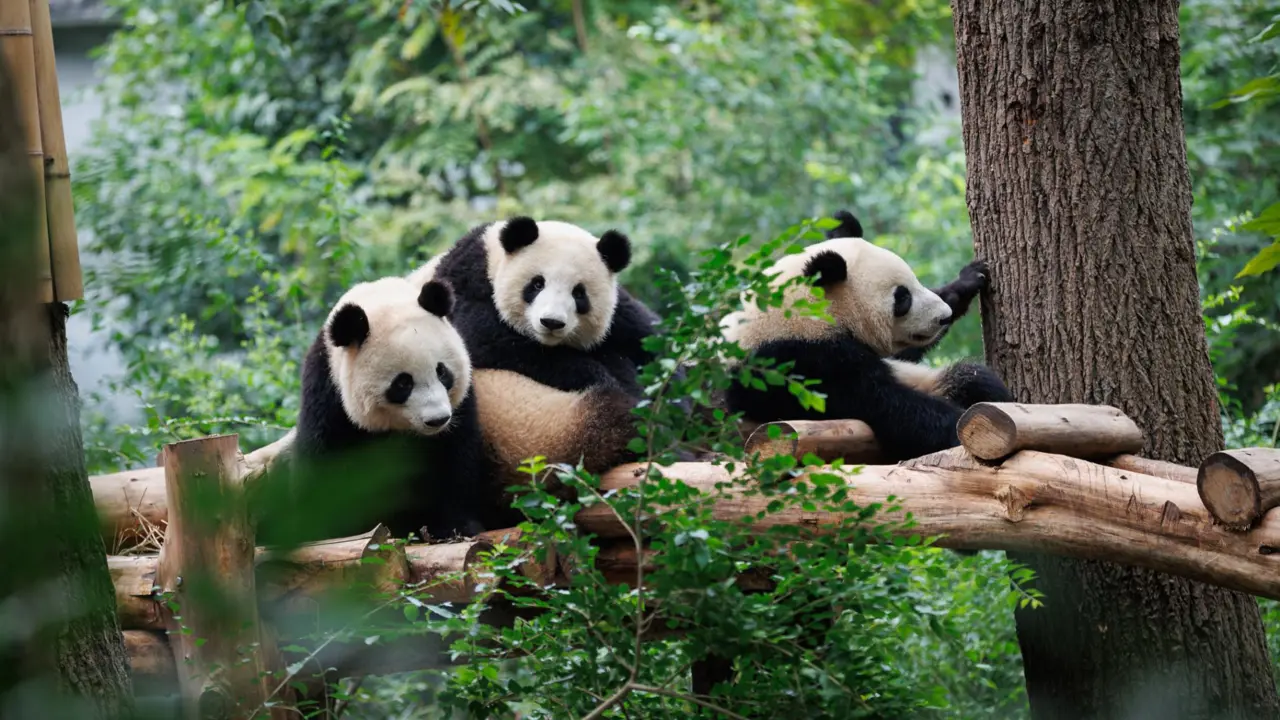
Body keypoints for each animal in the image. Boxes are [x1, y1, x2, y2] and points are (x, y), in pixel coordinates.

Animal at [278, 275, 502, 543]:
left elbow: (456, 460)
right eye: (403, 383)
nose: (437, 419)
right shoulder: (328, 394)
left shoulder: (460, 407)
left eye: (442, 371)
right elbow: (323, 464)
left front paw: (456, 527)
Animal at [410, 217, 660, 500]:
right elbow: (483, 336)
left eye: (579, 293)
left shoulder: (621, 317)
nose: (552, 322)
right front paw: (597, 374)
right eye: (537, 284)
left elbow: (646, 337)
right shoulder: (463, 282)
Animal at [722, 210, 1012, 462]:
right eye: (902, 297)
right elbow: (884, 404)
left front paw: (967, 281)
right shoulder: (800, 362)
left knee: (971, 377)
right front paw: (958, 428)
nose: (943, 316)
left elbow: (903, 354)